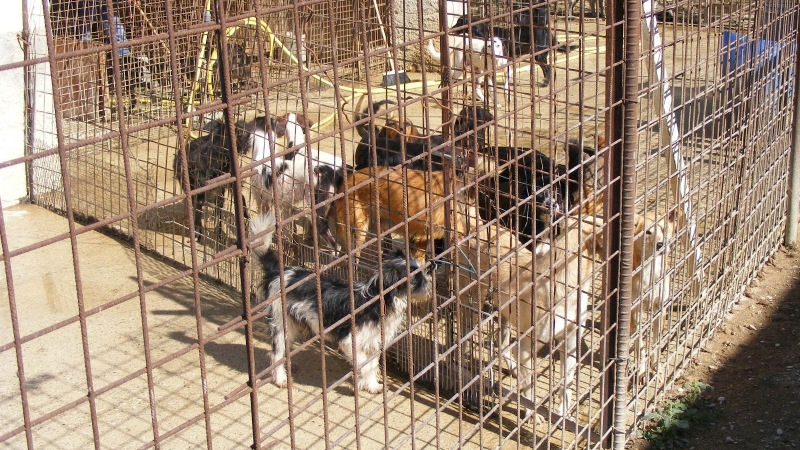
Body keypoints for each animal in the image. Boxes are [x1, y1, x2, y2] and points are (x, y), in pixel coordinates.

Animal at [251, 212, 430, 393]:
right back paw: (280, 378)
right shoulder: (350, 341)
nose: (429, 283)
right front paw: (363, 382)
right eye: (417, 279)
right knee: (276, 353)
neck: (378, 300)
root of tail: (280, 272)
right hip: (281, 324)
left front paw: (372, 386)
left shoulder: (374, 342)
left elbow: (372, 365)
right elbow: (364, 365)